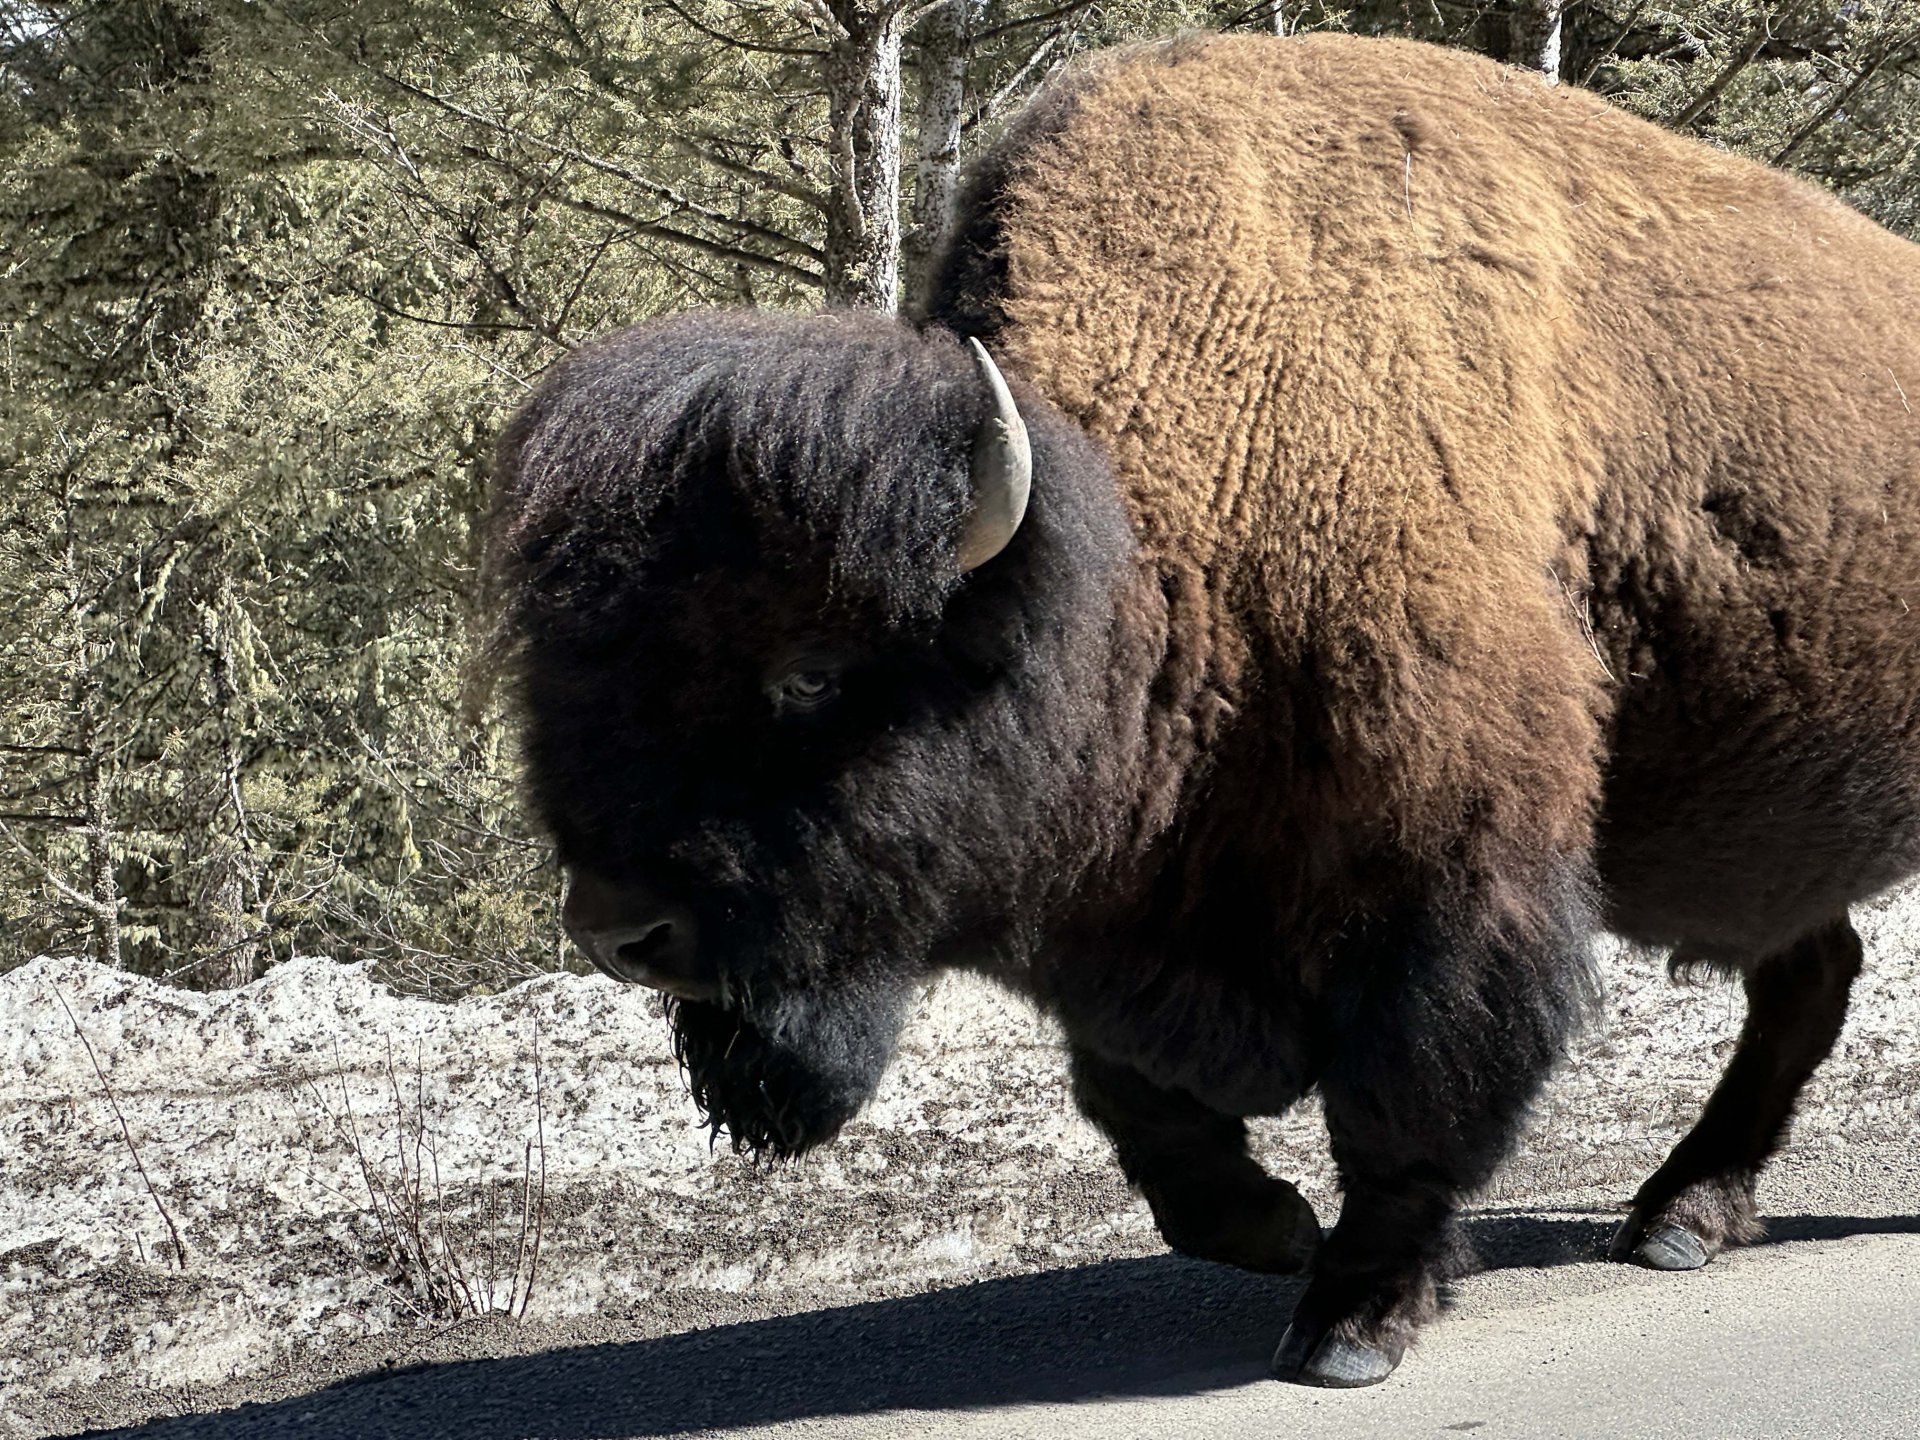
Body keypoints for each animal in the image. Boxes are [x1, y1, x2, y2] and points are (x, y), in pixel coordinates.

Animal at [491, 30, 1920, 1390]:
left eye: (810, 670)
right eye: (564, 673)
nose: (621, 930)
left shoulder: (1449, 871)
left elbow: (1407, 1099)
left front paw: (1350, 1322)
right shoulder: (1125, 907)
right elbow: (1137, 1099)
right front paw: (1270, 1226)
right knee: (1811, 978)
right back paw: (1682, 1214)